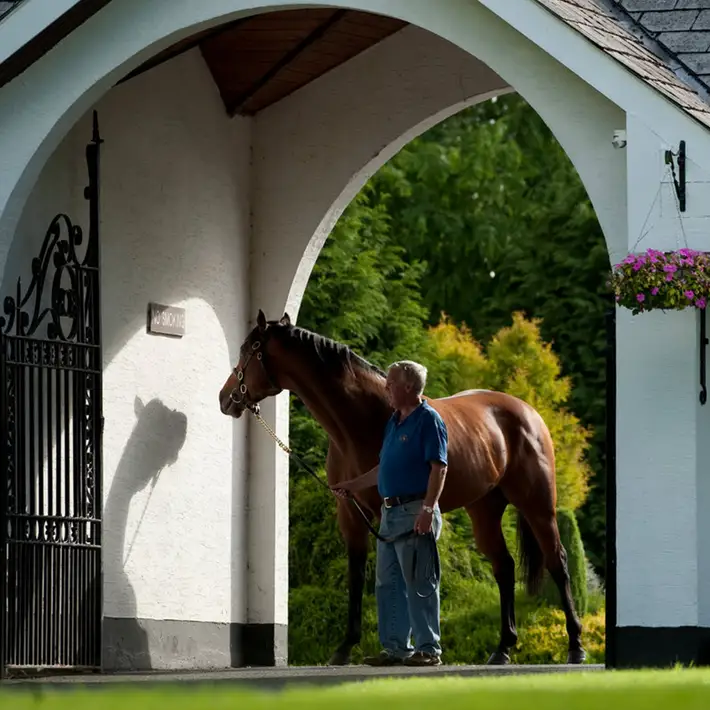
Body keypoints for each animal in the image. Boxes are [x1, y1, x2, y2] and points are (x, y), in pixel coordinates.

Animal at [218, 309, 586, 666]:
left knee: (557, 561)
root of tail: (527, 412)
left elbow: (403, 579)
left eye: (246, 349)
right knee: (504, 568)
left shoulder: (388, 512)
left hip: (537, 505)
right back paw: (502, 648)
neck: (362, 420)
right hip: (484, 510)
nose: (225, 398)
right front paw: (348, 647)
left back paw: (575, 646)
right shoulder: (350, 512)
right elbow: (358, 575)